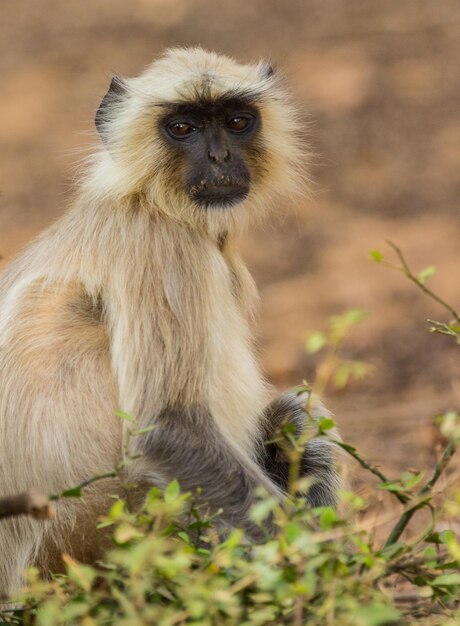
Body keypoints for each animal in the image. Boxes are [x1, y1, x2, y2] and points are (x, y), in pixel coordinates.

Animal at [0, 47, 338, 596]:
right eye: (182, 128)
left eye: (237, 122)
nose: (219, 158)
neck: (148, 199)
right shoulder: (160, 245)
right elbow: (169, 429)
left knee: (296, 414)